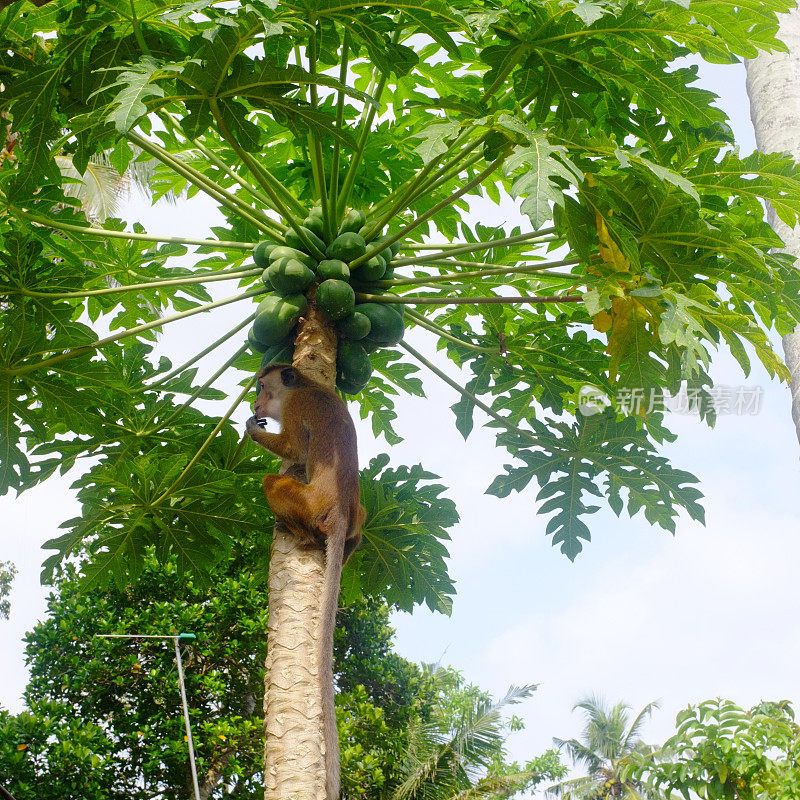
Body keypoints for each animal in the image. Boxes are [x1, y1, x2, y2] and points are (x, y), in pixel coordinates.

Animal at [245, 364, 368, 800]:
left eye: (262, 386)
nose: (256, 402)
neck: (308, 385)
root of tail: (339, 513)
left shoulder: (296, 408)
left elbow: (295, 449)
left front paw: (250, 427)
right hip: (357, 518)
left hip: (307, 504)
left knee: (270, 481)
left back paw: (299, 534)